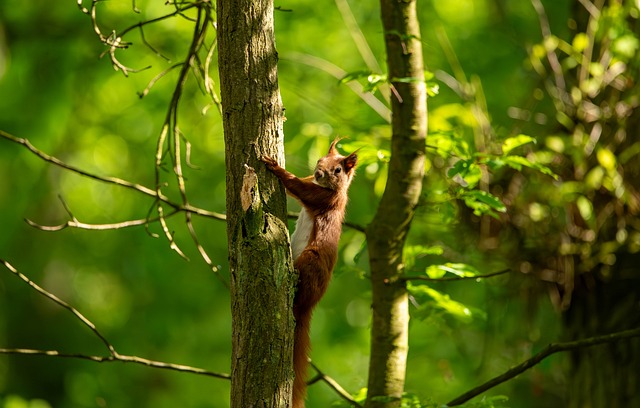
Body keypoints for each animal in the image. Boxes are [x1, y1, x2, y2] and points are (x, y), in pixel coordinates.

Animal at [261, 138, 358, 408]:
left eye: (338, 170)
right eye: (319, 160)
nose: (319, 173)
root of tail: (308, 306)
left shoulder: (324, 199)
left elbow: (297, 187)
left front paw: (275, 167)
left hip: (311, 261)